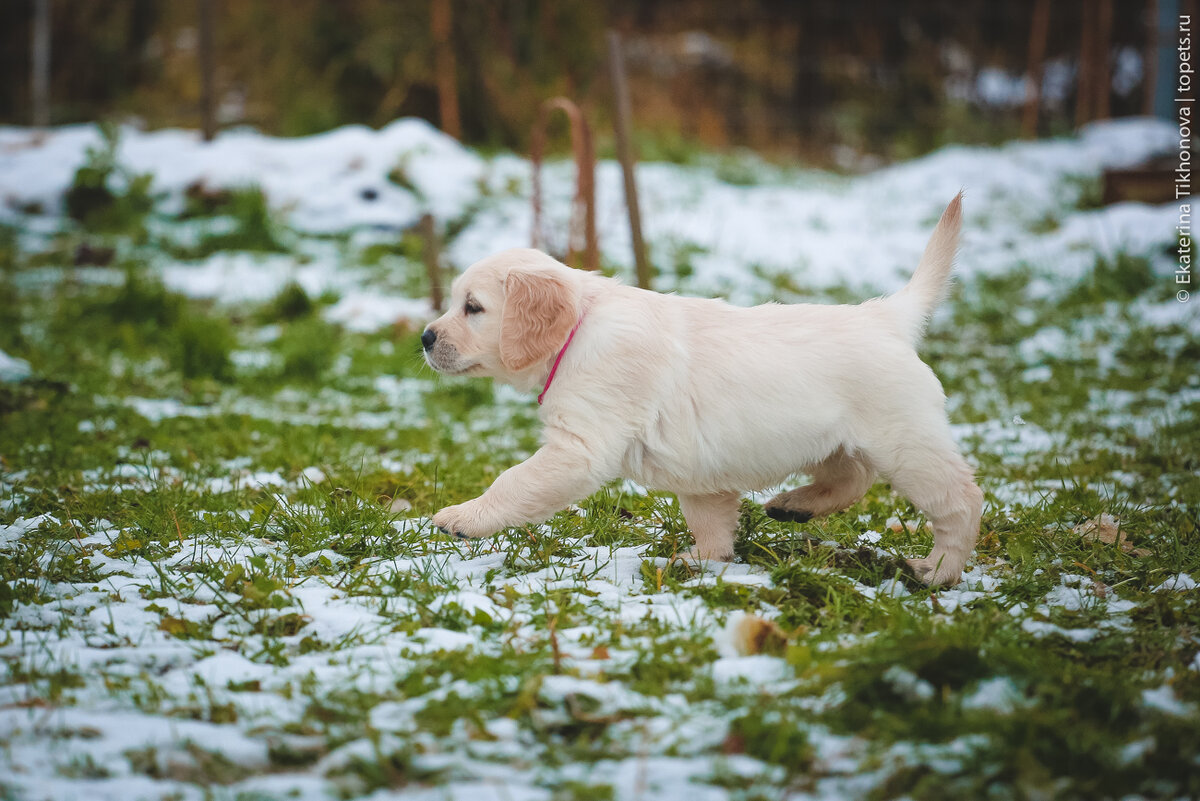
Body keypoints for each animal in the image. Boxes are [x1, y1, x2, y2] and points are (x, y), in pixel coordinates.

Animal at [422, 193, 984, 582]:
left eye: (473, 307)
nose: (425, 338)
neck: (579, 329)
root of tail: (885, 315)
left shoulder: (579, 447)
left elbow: (514, 482)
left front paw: (462, 518)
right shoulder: (699, 472)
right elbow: (711, 521)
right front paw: (701, 559)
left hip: (906, 441)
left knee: (962, 498)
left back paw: (939, 570)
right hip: (837, 439)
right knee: (852, 477)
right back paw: (795, 504)